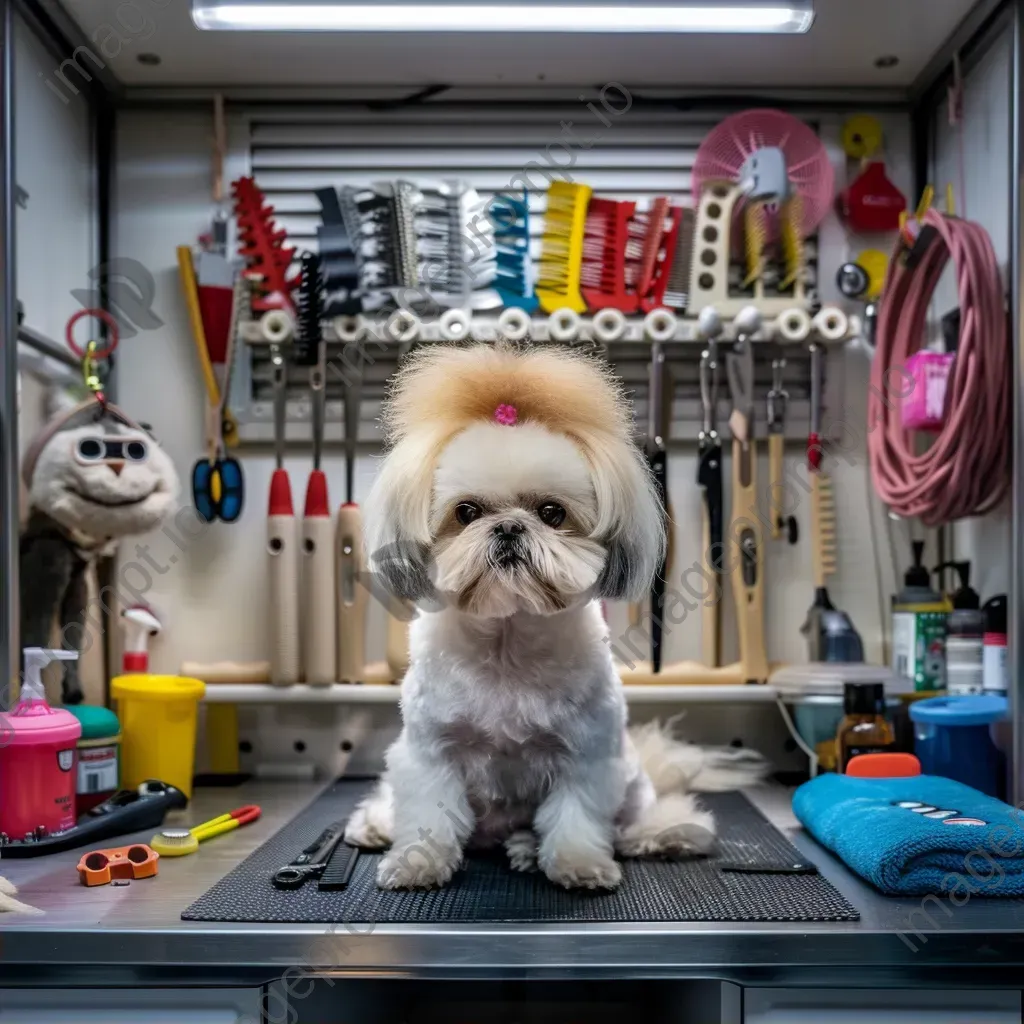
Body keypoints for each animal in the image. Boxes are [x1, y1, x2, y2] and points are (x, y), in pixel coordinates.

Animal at [348, 344, 765, 888]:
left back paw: (661, 834)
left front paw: (578, 863)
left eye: (551, 513)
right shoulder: (429, 754)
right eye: (466, 512)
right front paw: (418, 861)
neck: (507, 643)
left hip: (629, 780)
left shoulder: (586, 758)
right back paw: (377, 825)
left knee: (636, 820)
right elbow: (429, 815)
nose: (508, 527)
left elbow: (575, 817)